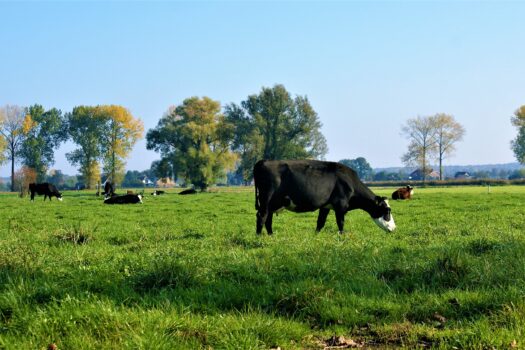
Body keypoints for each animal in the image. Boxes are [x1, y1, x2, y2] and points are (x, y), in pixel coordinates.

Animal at [252, 160, 396, 234]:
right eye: (387, 211)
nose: (394, 229)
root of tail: (263, 161)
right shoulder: (340, 205)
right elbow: (340, 223)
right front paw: (342, 236)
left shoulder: (325, 206)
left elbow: (320, 223)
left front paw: (316, 236)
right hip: (266, 199)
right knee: (262, 217)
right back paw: (259, 236)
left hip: (272, 203)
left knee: (268, 219)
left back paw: (271, 236)